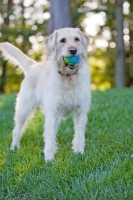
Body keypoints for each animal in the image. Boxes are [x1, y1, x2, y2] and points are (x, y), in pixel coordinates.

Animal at [0, 27, 91, 161]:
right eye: (62, 40)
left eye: (76, 39)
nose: (73, 50)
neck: (68, 78)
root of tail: (33, 65)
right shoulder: (52, 112)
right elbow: (49, 136)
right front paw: (49, 159)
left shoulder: (80, 111)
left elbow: (79, 134)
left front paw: (79, 153)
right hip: (24, 109)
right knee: (17, 130)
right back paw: (14, 148)